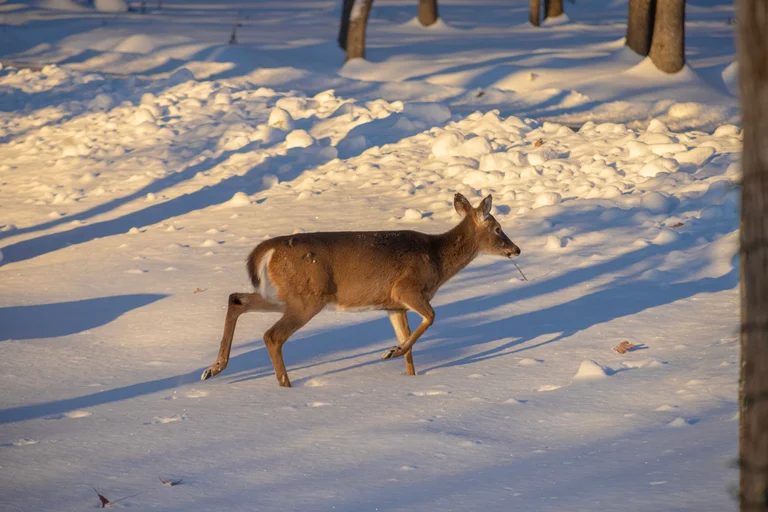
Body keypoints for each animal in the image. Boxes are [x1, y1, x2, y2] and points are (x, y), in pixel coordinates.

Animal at [201, 193, 521, 387]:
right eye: (497, 228)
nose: (516, 249)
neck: (437, 258)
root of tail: (269, 249)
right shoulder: (406, 289)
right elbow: (431, 318)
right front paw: (390, 352)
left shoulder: (393, 306)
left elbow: (410, 348)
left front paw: (407, 372)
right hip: (308, 298)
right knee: (272, 335)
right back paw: (286, 386)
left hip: (282, 295)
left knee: (237, 299)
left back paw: (213, 368)